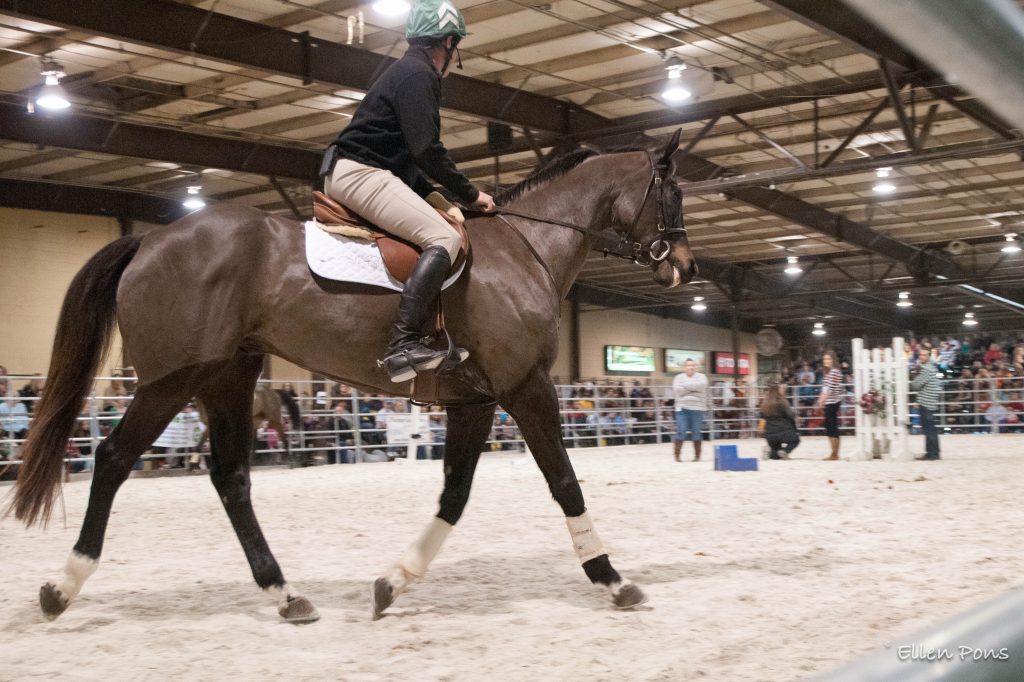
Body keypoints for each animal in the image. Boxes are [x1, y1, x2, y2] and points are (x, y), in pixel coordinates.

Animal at [6, 129, 696, 622]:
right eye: (674, 195)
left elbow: (454, 495)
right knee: (114, 459)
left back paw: (285, 595)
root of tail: (147, 242)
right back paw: (62, 587)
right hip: (172, 381)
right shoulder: (526, 388)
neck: (526, 250)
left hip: (228, 378)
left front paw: (393, 582)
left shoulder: (476, 401)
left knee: (230, 479)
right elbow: (565, 483)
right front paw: (613, 579)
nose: (684, 268)